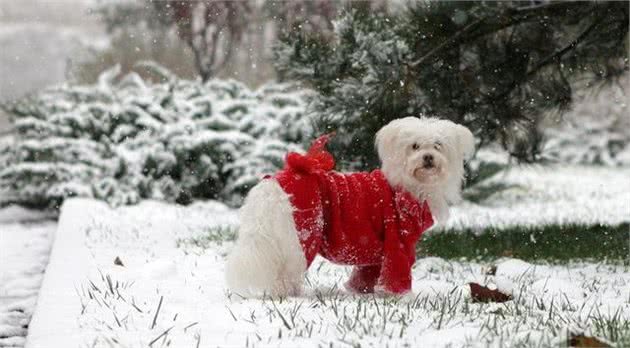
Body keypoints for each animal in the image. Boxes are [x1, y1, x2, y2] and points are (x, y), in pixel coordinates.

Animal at [227, 116, 474, 296]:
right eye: (415, 146)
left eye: (438, 146)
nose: (428, 157)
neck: (410, 185)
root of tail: (272, 186)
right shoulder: (398, 242)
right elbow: (396, 273)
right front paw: (402, 298)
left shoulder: (378, 249)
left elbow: (368, 272)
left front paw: (362, 292)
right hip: (301, 235)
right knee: (288, 271)